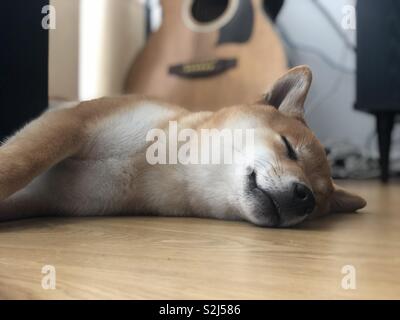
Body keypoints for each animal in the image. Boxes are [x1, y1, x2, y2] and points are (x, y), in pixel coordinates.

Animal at [0, 65, 366, 225]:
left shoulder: (42, 198)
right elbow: (17, 165)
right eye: (289, 148)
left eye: (319, 201)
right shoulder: (72, 122)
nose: (305, 197)